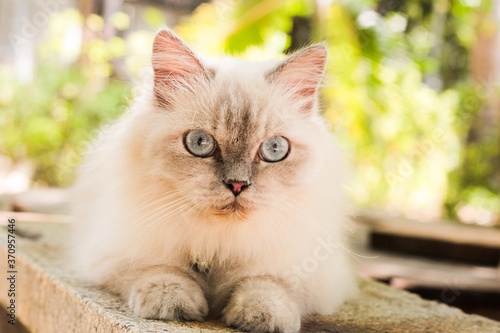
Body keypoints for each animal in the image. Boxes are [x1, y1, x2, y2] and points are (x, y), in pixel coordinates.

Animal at [71, 28, 360, 332]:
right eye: (200, 143)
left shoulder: (310, 273)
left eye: (274, 149)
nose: (237, 185)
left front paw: (264, 316)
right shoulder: (113, 254)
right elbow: (159, 270)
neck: (219, 243)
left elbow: (268, 283)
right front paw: (171, 302)